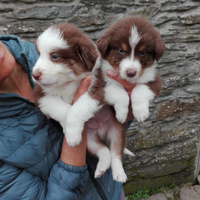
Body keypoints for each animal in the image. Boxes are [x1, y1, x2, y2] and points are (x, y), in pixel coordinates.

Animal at [65, 16, 165, 182]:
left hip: (117, 133)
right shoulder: (103, 83)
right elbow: (121, 93)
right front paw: (122, 114)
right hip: (89, 141)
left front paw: (140, 113)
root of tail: (101, 133)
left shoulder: (154, 81)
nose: (131, 73)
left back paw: (119, 174)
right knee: (104, 150)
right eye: (121, 51)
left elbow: (139, 89)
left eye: (143, 52)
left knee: (115, 153)